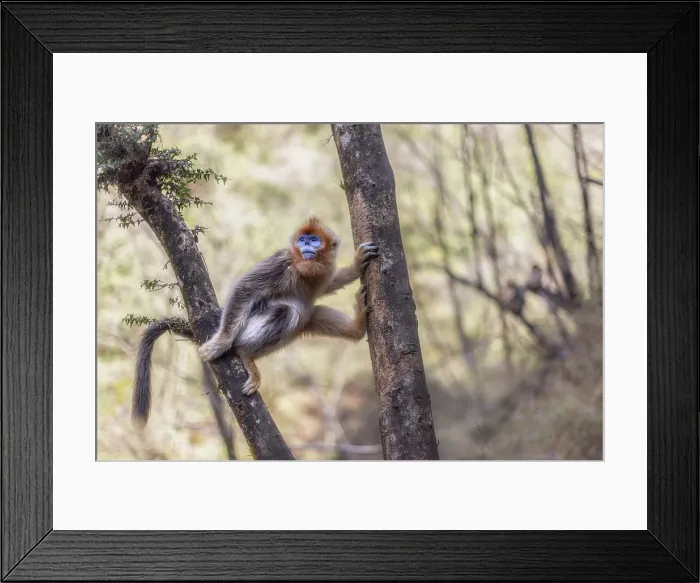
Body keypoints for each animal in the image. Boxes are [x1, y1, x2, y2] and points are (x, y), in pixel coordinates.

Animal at [131, 216, 378, 427]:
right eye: (303, 240)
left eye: (314, 240)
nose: (307, 245)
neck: (305, 270)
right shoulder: (283, 262)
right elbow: (246, 289)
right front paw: (221, 343)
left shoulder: (324, 271)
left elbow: (328, 286)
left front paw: (357, 264)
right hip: (248, 325)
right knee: (289, 312)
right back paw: (245, 354)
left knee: (312, 315)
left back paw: (357, 327)